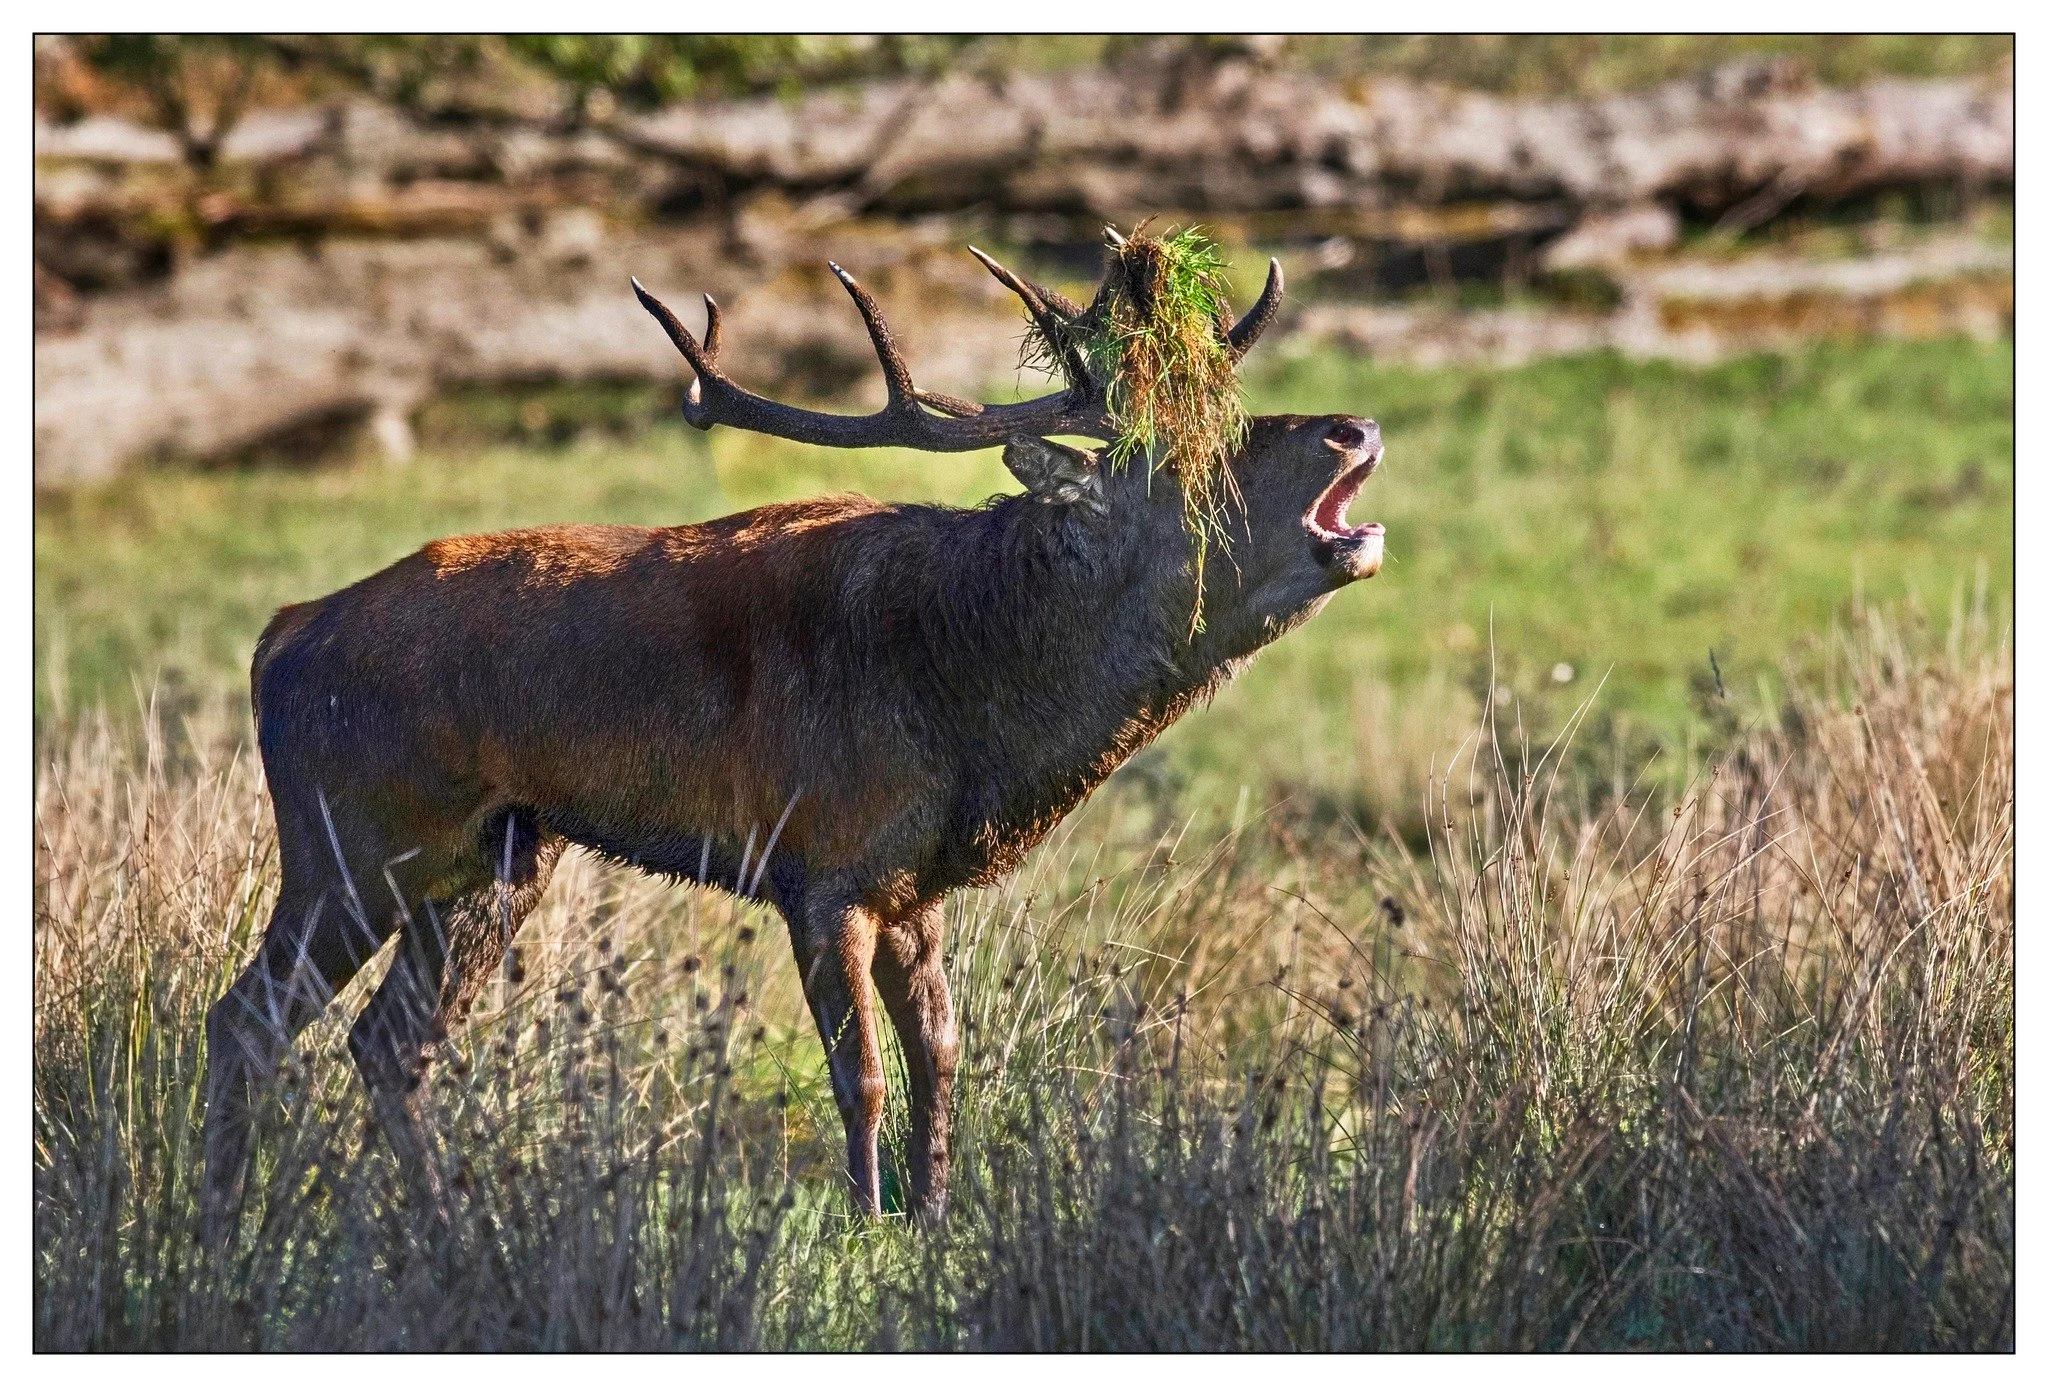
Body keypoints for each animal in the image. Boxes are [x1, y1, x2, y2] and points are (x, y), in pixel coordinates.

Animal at [201, 231, 1386, 1244]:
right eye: (1188, 456)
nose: (1355, 427)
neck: (970, 708)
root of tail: (278, 637)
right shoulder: (820, 866)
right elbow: (859, 1073)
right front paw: (864, 1226)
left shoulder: (915, 887)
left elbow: (942, 1057)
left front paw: (933, 1219)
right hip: (351, 839)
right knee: (247, 1021)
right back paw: (219, 1233)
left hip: (492, 860)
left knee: (385, 1046)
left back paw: (449, 1231)